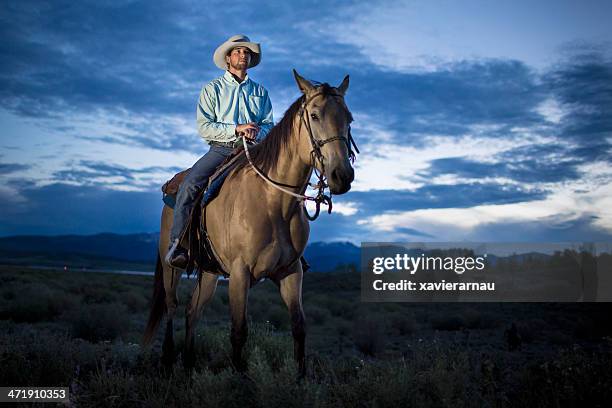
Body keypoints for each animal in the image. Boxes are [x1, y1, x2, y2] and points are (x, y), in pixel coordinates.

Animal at [142, 67, 356, 376]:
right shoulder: (240, 273)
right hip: (172, 267)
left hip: (210, 272)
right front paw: (238, 377)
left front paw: (300, 378)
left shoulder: (291, 272)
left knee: (193, 311)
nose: (342, 175)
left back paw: (190, 365)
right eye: (315, 115)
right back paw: (169, 362)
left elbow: (299, 327)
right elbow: (239, 331)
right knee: (172, 307)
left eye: (349, 119)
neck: (274, 203)